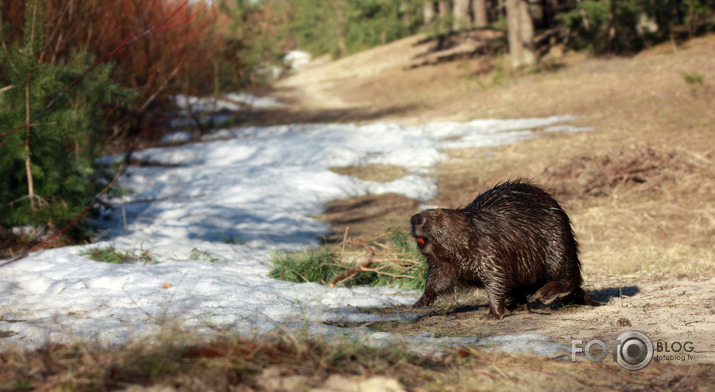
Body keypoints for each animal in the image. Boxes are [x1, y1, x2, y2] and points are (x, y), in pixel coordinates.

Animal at [408, 179, 600, 320]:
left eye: (437, 214)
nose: (414, 218)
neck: (472, 232)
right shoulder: (445, 263)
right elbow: (438, 278)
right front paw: (421, 301)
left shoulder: (489, 250)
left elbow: (497, 280)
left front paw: (493, 314)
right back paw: (519, 305)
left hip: (558, 245)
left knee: (569, 277)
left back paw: (542, 294)